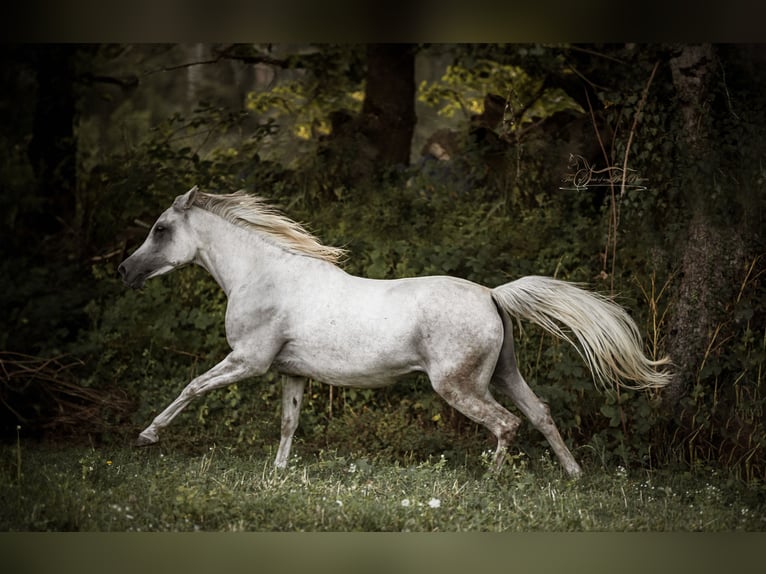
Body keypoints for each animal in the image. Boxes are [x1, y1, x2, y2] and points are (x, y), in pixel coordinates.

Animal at [117, 188, 668, 476]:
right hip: (505, 374)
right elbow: (289, 423)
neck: (263, 274)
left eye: (161, 229)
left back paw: (491, 482)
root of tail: (492, 294)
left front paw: (146, 435)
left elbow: (192, 387)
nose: (124, 271)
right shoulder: (291, 373)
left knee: (506, 424)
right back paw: (573, 474)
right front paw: (277, 475)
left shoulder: (248, 361)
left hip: (458, 385)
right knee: (540, 414)